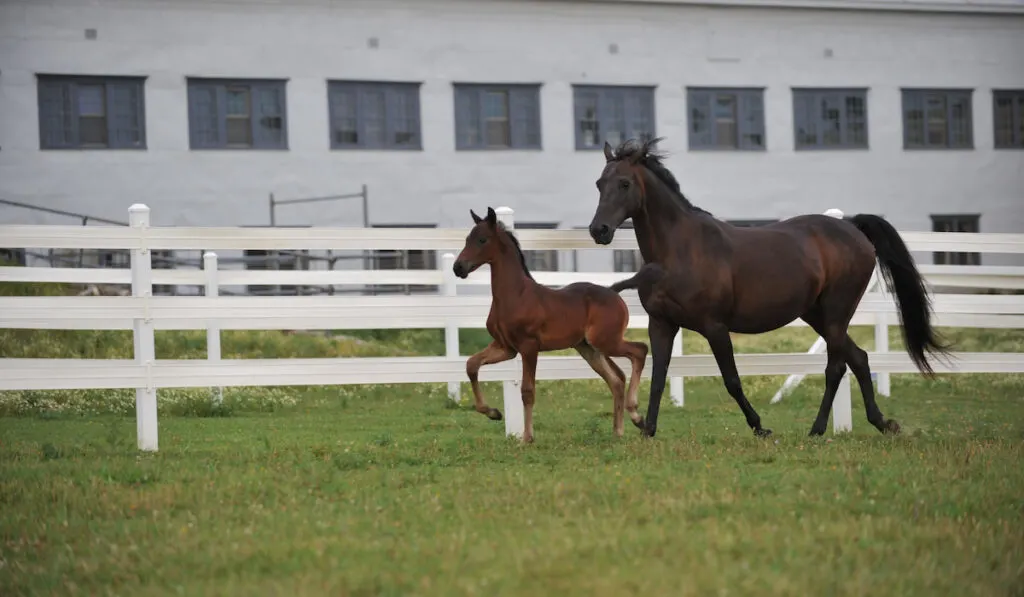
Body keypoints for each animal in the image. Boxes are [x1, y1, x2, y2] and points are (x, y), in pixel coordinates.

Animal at [450, 207, 643, 442]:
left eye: (482, 240)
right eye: (467, 239)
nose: (458, 267)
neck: (515, 295)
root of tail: (614, 293)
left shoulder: (529, 347)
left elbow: (527, 391)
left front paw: (527, 438)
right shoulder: (506, 347)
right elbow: (471, 365)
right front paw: (493, 413)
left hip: (607, 341)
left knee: (640, 351)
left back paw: (637, 416)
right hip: (589, 348)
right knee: (616, 380)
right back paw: (618, 431)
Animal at [593, 139, 950, 438]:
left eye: (624, 183)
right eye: (599, 184)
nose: (599, 230)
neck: (680, 250)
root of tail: (852, 227)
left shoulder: (714, 326)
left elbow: (732, 380)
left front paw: (759, 427)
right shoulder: (662, 324)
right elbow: (658, 377)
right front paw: (648, 429)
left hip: (836, 313)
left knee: (836, 366)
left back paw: (818, 429)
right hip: (817, 316)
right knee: (859, 359)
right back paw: (881, 423)